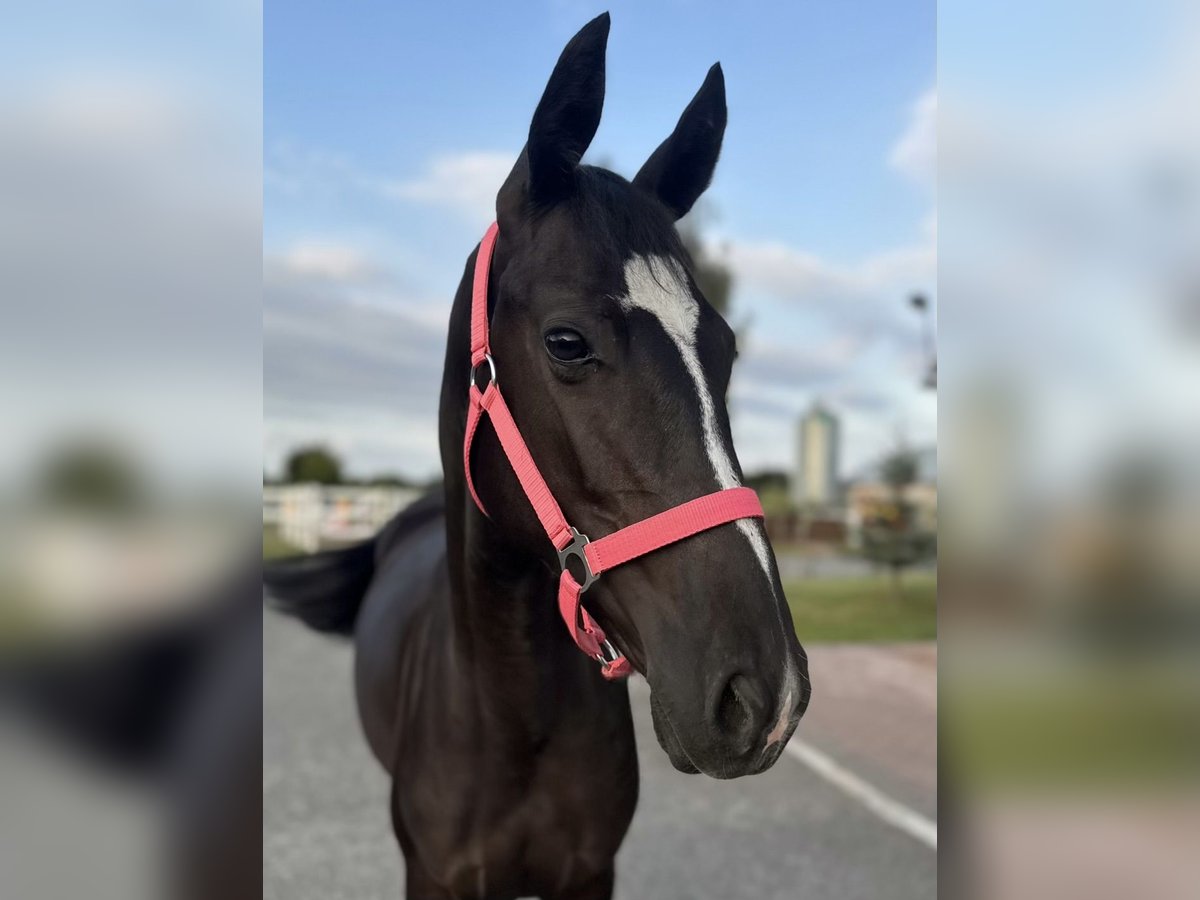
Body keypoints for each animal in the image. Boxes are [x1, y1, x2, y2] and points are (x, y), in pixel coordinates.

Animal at [265, 13, 810, 899]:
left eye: (725, 348)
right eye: (566, 341)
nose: (764, 696)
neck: (514, 723)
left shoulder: (590, 873)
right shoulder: (433, 875)